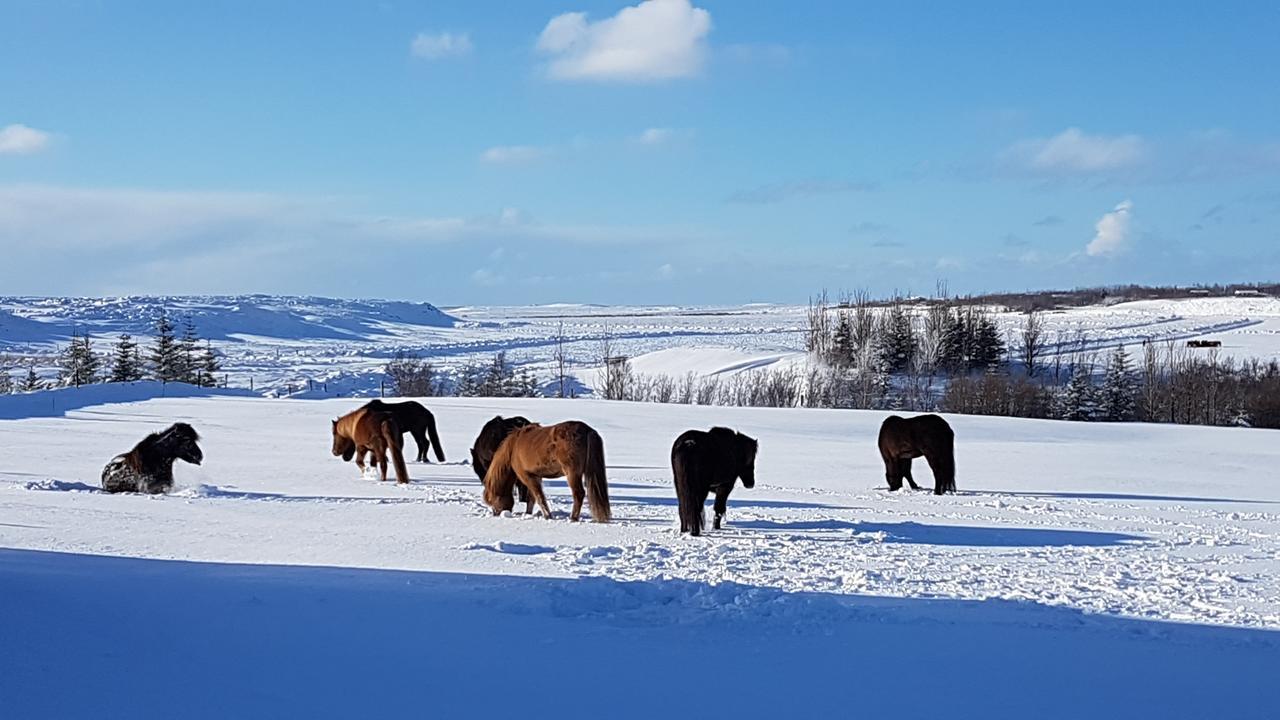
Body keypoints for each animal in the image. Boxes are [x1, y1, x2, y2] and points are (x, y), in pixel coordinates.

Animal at [483, 420, 614, 520]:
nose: (496, 514)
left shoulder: (527, 476)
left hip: (572, 473)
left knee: (579, 494)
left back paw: (573, 518)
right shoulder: (536, 476)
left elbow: (539, 497)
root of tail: (587, 430)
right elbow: (532, 498)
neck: (513, 449)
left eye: (492, 500)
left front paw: (547, 516)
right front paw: (529, 514)